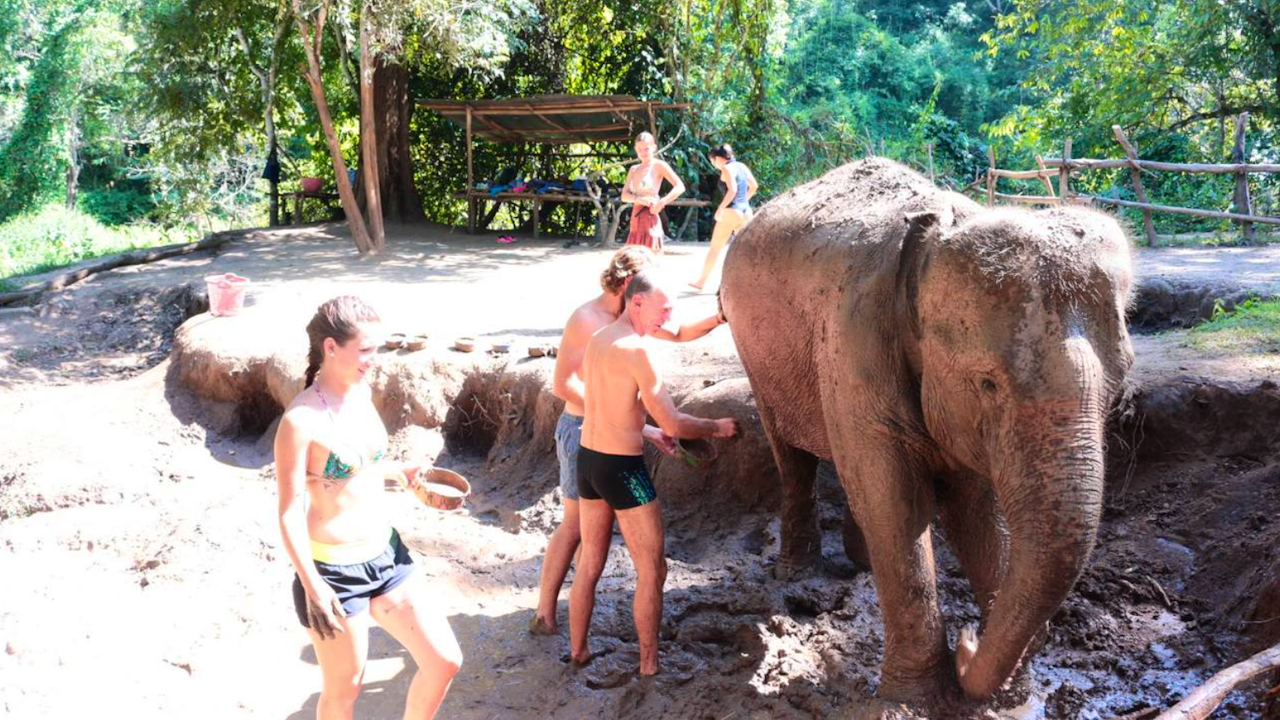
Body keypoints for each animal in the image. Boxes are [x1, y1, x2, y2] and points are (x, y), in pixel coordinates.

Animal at [719, 158, 1135, 708]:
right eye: (986, 382)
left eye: (1121, 383)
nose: (969, 639)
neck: (941, 228)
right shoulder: (855, 340)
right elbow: (897, 504)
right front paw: (912, 702)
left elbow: (973, 510)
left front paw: (1012, 699)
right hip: (754, 355)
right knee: (793, 457)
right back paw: (795, 572)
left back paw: (860, 564)